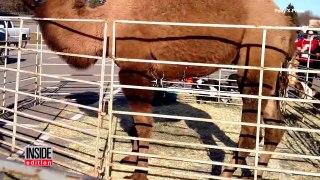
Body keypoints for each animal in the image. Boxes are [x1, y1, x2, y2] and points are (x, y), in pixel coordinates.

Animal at [22, 0, 296, 179]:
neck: (105, 22)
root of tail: (286, 24)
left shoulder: (134, 68)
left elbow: (143, 124)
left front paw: (138, 173)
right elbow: (135, 123)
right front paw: (130, 158)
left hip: (256, 57)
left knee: (252, 126)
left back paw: (226, 174)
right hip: (266, 68)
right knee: (275, 124)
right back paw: (256, 173)